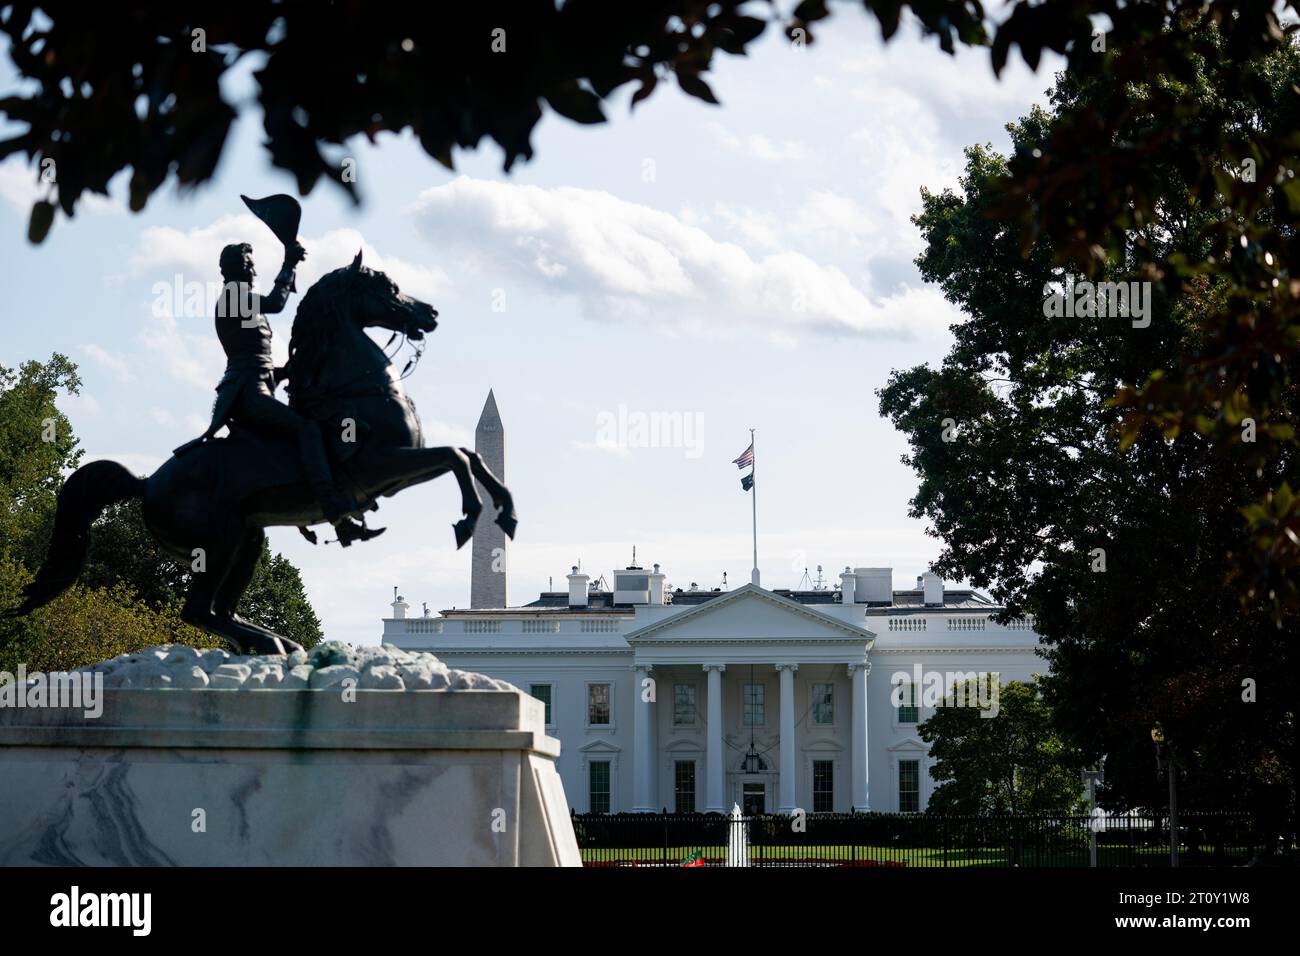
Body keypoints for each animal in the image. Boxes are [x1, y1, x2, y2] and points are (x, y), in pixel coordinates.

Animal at [15, 251, 514, 658]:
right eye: (387, 287)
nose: (430, 312)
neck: (356, 387)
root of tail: (146, 482)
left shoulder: (395, 469)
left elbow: (469, 455)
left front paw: (504, 510)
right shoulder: (383, 467)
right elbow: (456, 456)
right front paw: (471, 517)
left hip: (246, 536)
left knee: (219, 609)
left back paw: (276, 642)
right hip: (216, 540)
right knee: (197, 610)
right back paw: (270, 642)